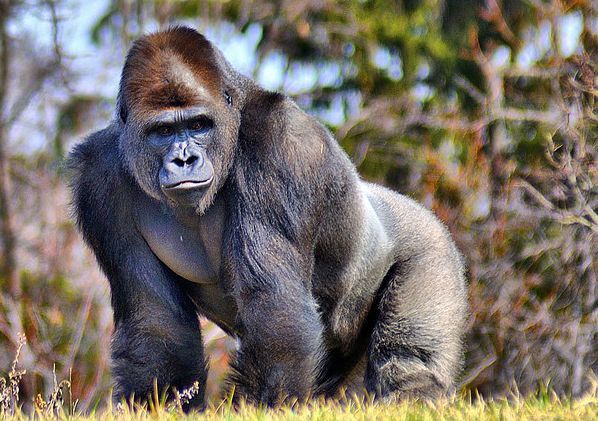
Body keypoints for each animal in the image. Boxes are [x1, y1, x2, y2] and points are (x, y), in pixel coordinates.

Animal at [68, 26, 472, 406]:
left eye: (198, 125)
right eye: (163, 130)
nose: (184, 159)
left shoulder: (279, 141)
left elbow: (276, 308)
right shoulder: (97, 178)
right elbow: (156, 324)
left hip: (432, 249)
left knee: (408, 359)